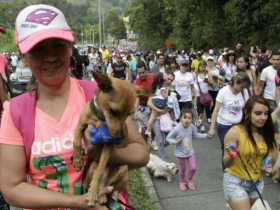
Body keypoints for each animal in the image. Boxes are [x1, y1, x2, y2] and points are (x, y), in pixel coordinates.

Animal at [73, 72, 137, 205]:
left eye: (129, 114)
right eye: (114, 111)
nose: (121, 136)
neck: (100, 118)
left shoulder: (108, 145)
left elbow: (100, 169)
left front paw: (93, 192)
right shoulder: (80, 126)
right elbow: (76, 141)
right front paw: (77, 160)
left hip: (124, 168)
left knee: (111, 186)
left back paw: (102, 194)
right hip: (91, 166)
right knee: (87, 182)